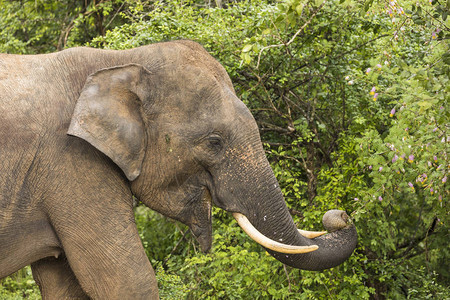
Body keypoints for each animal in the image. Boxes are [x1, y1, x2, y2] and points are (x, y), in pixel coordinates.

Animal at [0, 40, 358, 300]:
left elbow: (64, 286)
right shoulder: (72, 163)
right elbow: (129, 281)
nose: (338, 215)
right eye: (214, 142)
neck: (121, 61)